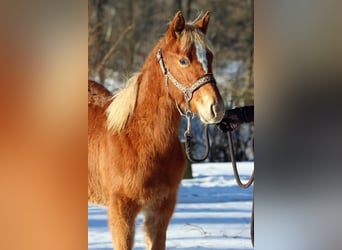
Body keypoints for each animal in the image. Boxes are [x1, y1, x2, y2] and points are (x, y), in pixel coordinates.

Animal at [88, 10, 224, 249]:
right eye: (183, 60)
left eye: (210, 57)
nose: (215, 108)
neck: (139, 139)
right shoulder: (121, 211)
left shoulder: (161, 210)